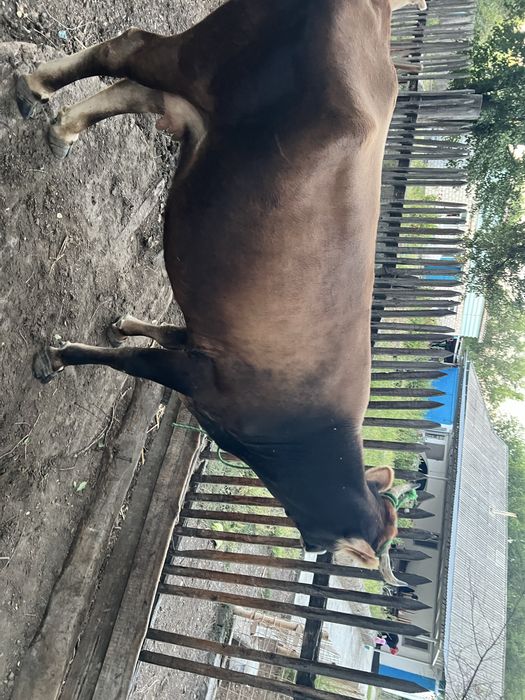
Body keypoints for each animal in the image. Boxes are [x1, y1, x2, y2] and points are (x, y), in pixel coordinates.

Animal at [17, 0, 425, 585]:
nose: (311, 546)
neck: (303, 438)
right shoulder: (198, 375)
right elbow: (127, 362)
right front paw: (58, 355)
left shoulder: (204, 343)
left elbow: (163, 332)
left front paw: (125, 323)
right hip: (201, 60)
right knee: (129, 49)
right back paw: (36, 85)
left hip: (199, 107)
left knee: (136, 90)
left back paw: (64, 128)